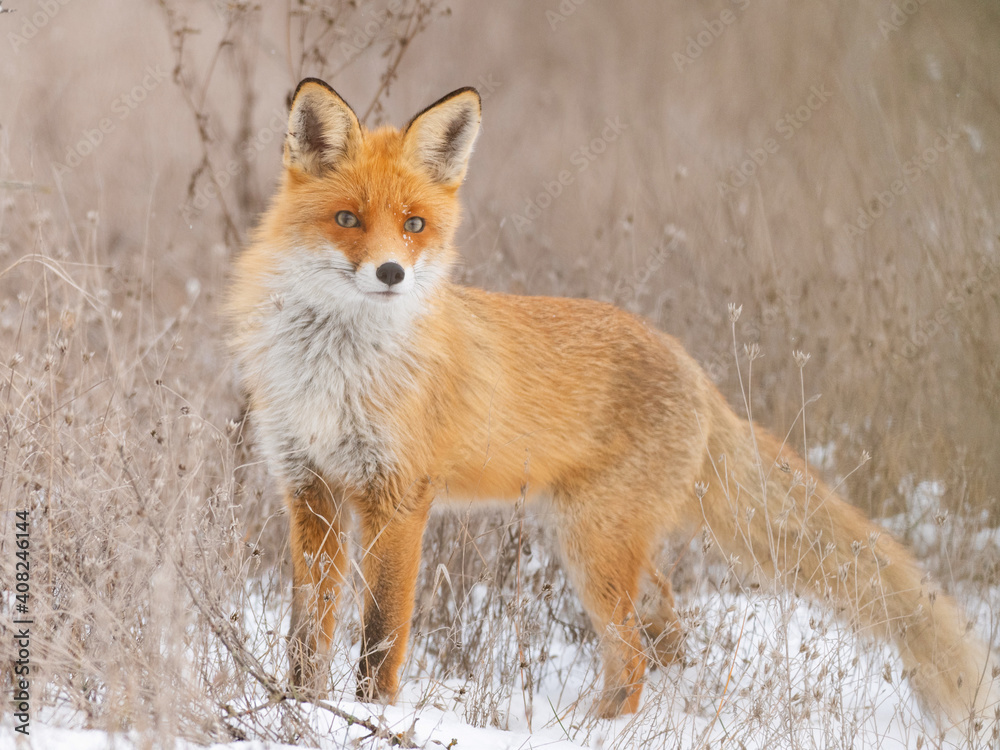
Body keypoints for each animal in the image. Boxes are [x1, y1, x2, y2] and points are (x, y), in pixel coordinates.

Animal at [227, 77, 998, 725]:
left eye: (414, 225)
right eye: (348, 218)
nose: (391, 273)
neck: (337, 371)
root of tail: (696, 372)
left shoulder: (399, 499)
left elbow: (381, 637)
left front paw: (369, 718)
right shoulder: (312, 491)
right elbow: (308, 632)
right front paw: (297, 706)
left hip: (591, 548)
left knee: (631, 660)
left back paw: (597, 730)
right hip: (597, 542)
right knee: (666, 629)